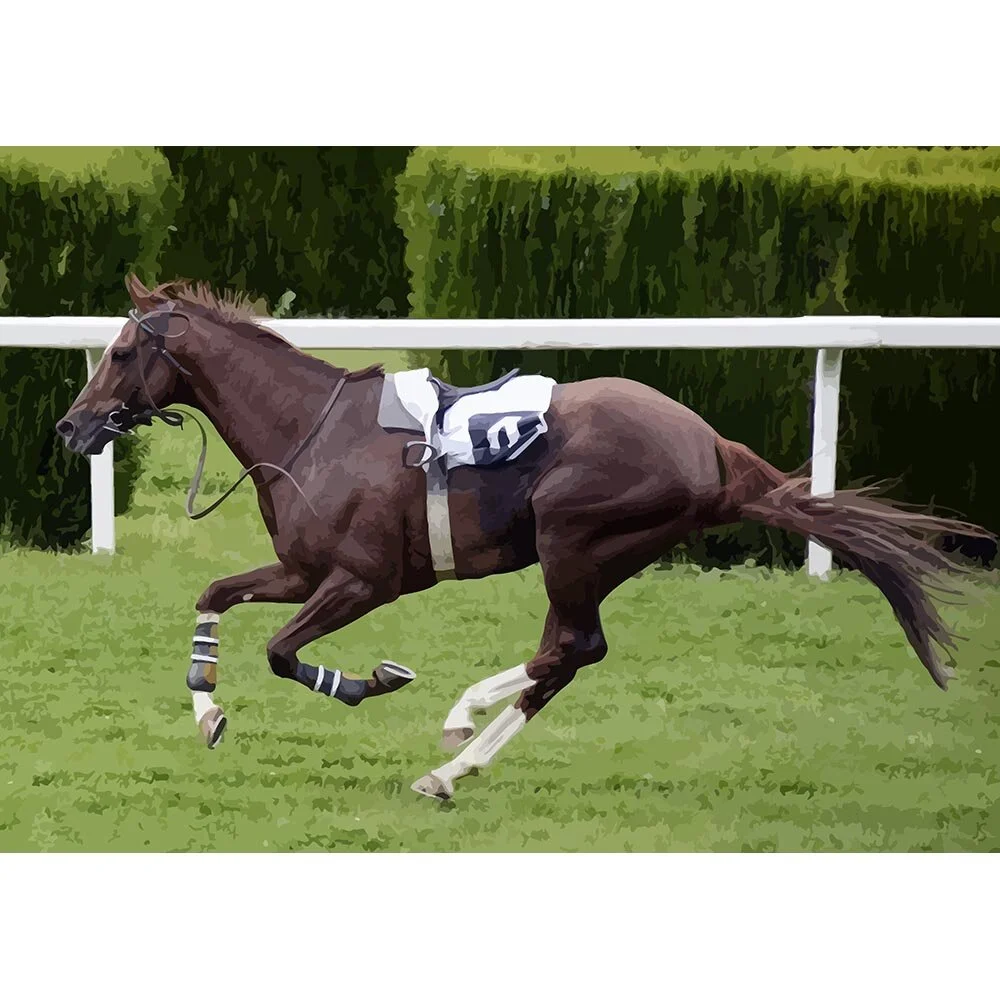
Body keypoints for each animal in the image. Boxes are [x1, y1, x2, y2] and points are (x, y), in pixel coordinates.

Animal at [56, 274, 995, 801]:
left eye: (120, 353)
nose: (71, 427)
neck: (309, 430)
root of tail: (712, 448)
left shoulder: (364, 579)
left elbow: (285, 654)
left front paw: (372, 680)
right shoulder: (302, 567)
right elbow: (214, 597)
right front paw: (208, 711)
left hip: (574, 539)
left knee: (569, 648)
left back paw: (458, 724)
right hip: (593, 554)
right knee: (565, 657)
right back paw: (453, 767)